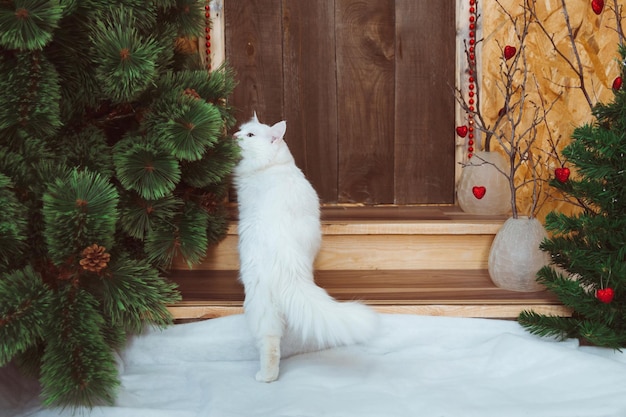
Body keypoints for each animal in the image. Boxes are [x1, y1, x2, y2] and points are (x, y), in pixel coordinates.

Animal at [233, 113, 378, 380]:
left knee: (268, 343)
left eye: (249, 135)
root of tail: (287, 266)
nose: (234, 136)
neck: (277, 165)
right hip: (269, 307)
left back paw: (265, 377)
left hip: (258, 304)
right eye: (241, 130)